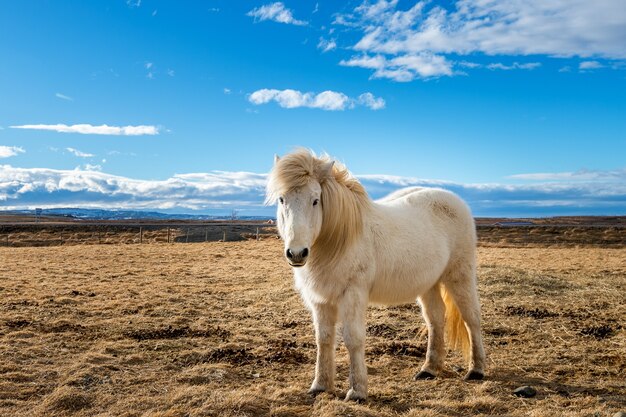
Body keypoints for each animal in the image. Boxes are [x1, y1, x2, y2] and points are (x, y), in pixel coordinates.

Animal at [266, 149, 486, 400]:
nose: (296, 253)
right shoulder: (320, 300)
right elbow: (324, 339)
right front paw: (320, 386)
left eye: (315, 200)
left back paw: (476, 370)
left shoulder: (353, 294)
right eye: (282, 199)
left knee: (471, 318)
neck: (339, 240)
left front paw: (357, 391)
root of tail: (456, 201)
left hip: (460, 276)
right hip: (429, 284)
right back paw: (429, 369)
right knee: (435, 319)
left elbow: (353, 339)